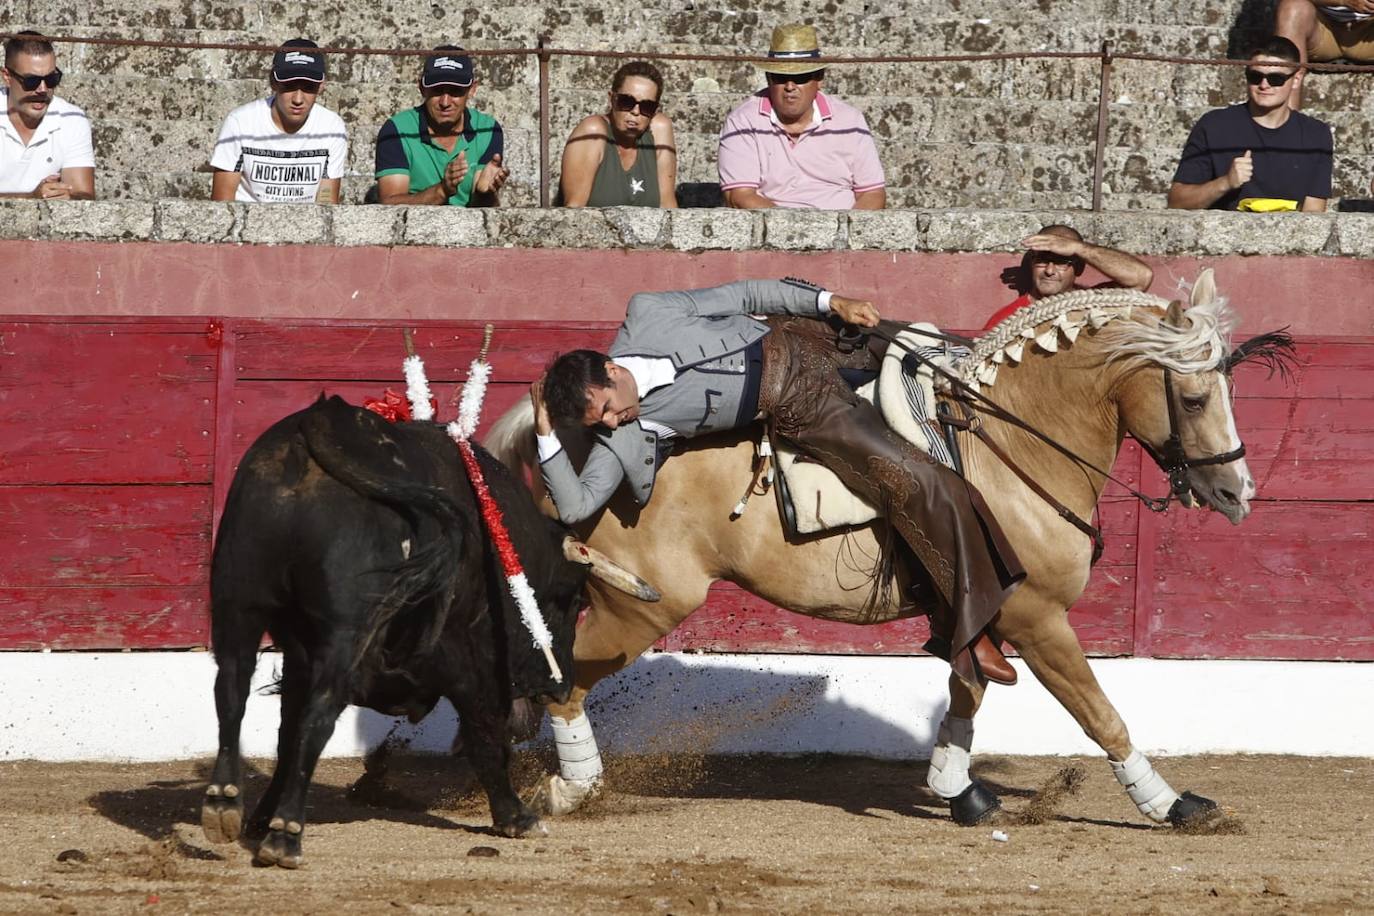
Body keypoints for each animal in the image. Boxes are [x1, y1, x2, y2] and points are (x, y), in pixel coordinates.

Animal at [199, 395, 643, 867]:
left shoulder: (298, 653)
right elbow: (483, 729)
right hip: (345, 634)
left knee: (231, 692)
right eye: (574, 600)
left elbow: (285, 735)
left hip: (237, 602)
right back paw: (286, 836)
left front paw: (260, 818)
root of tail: (323, 420)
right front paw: (515, 816)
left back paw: (224, 803)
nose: (559, 687)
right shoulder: (457, 653)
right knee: (318, 716)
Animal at [489, 274, 1291, 829]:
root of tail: (578, 452)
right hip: (642, 606)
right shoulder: (1038, 619)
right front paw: (1173, 805)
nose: (1237, 491)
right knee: (566, 677)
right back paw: (572, 786)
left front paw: (956, 789)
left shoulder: (989, 608)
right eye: (1194, 399)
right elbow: (1100, 713)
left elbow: (969, 689)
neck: (1013, 443)